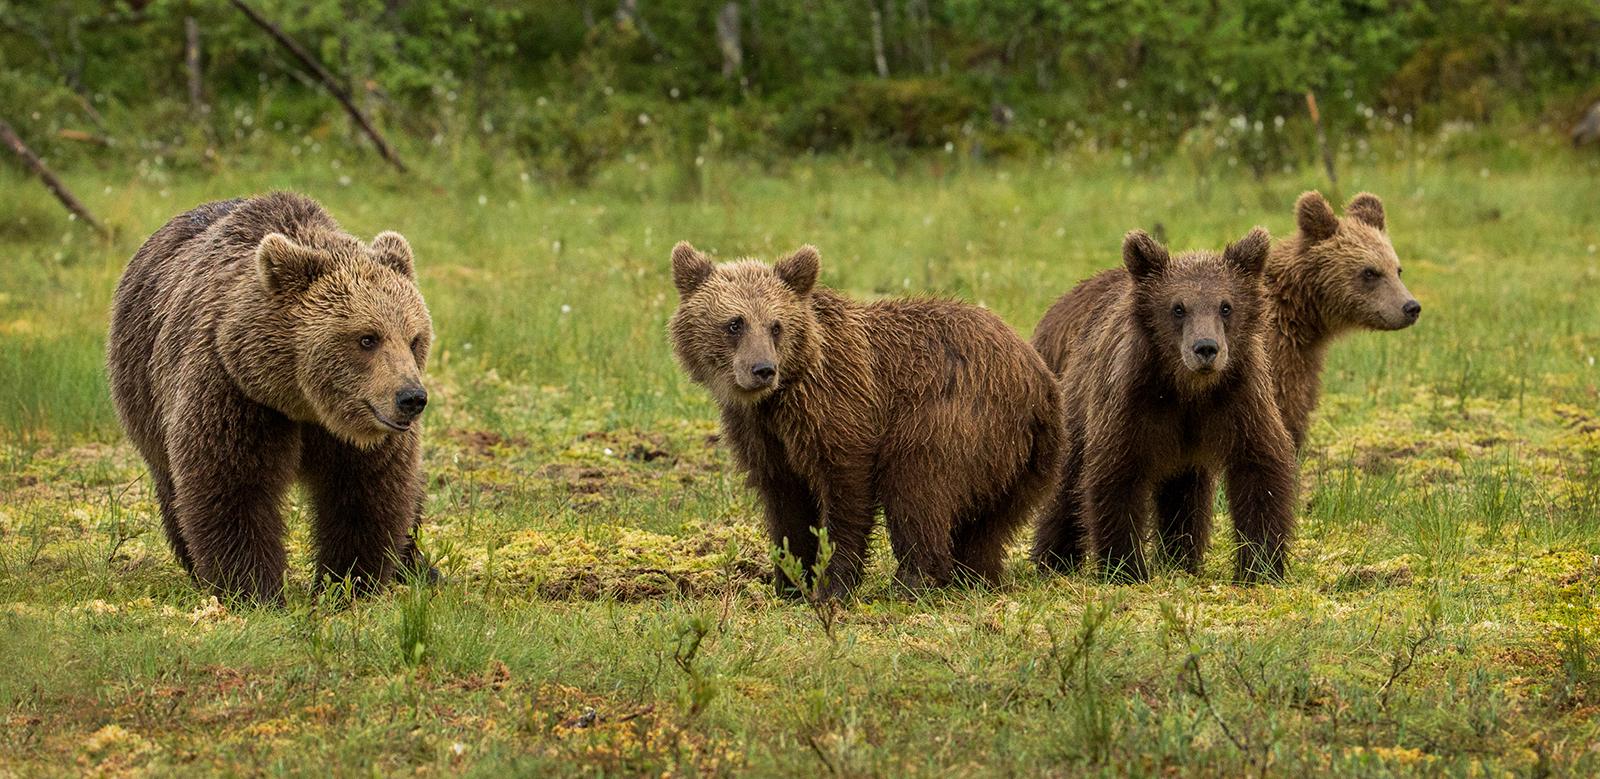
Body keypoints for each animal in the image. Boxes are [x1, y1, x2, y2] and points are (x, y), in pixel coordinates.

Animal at [107, 192, 434, 602]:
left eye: (413, 338)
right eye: (367, 338)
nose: (411, 398)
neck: (302, 402)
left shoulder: (362, 435)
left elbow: (366, 492)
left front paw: (349, 583)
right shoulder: (235, 393)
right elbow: (235, 486)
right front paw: (252, 589)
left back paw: (418, 566)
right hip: (145, 396)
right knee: (173, 487)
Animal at [668, 242, 1063, 598]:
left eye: (776, 326)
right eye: (735, 323)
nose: (763, 369)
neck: (783, 394)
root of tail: (1040, 380)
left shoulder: (840, 405)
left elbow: (846, 489)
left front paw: (833, 585)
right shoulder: (762, 433)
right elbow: (785, 501)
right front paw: (789, 582)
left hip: (951, 415)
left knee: (917, 484)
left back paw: (912, 581)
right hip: (1026, 461)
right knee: (992, 523)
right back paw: (976, 574)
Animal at [1030, 228, 1298, 582]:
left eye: (1226, 306)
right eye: (1178, 308)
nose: (1206, 348)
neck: (1189, 391)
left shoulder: (1239, 401)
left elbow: (1260, 468)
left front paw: (1260, 566)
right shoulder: (1132, 402)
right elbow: (1115, 474)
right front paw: (1126, 567)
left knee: (1184, 497)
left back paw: (1181, 560)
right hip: (1070, 397)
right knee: (1066, 486)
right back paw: (1053, 561)